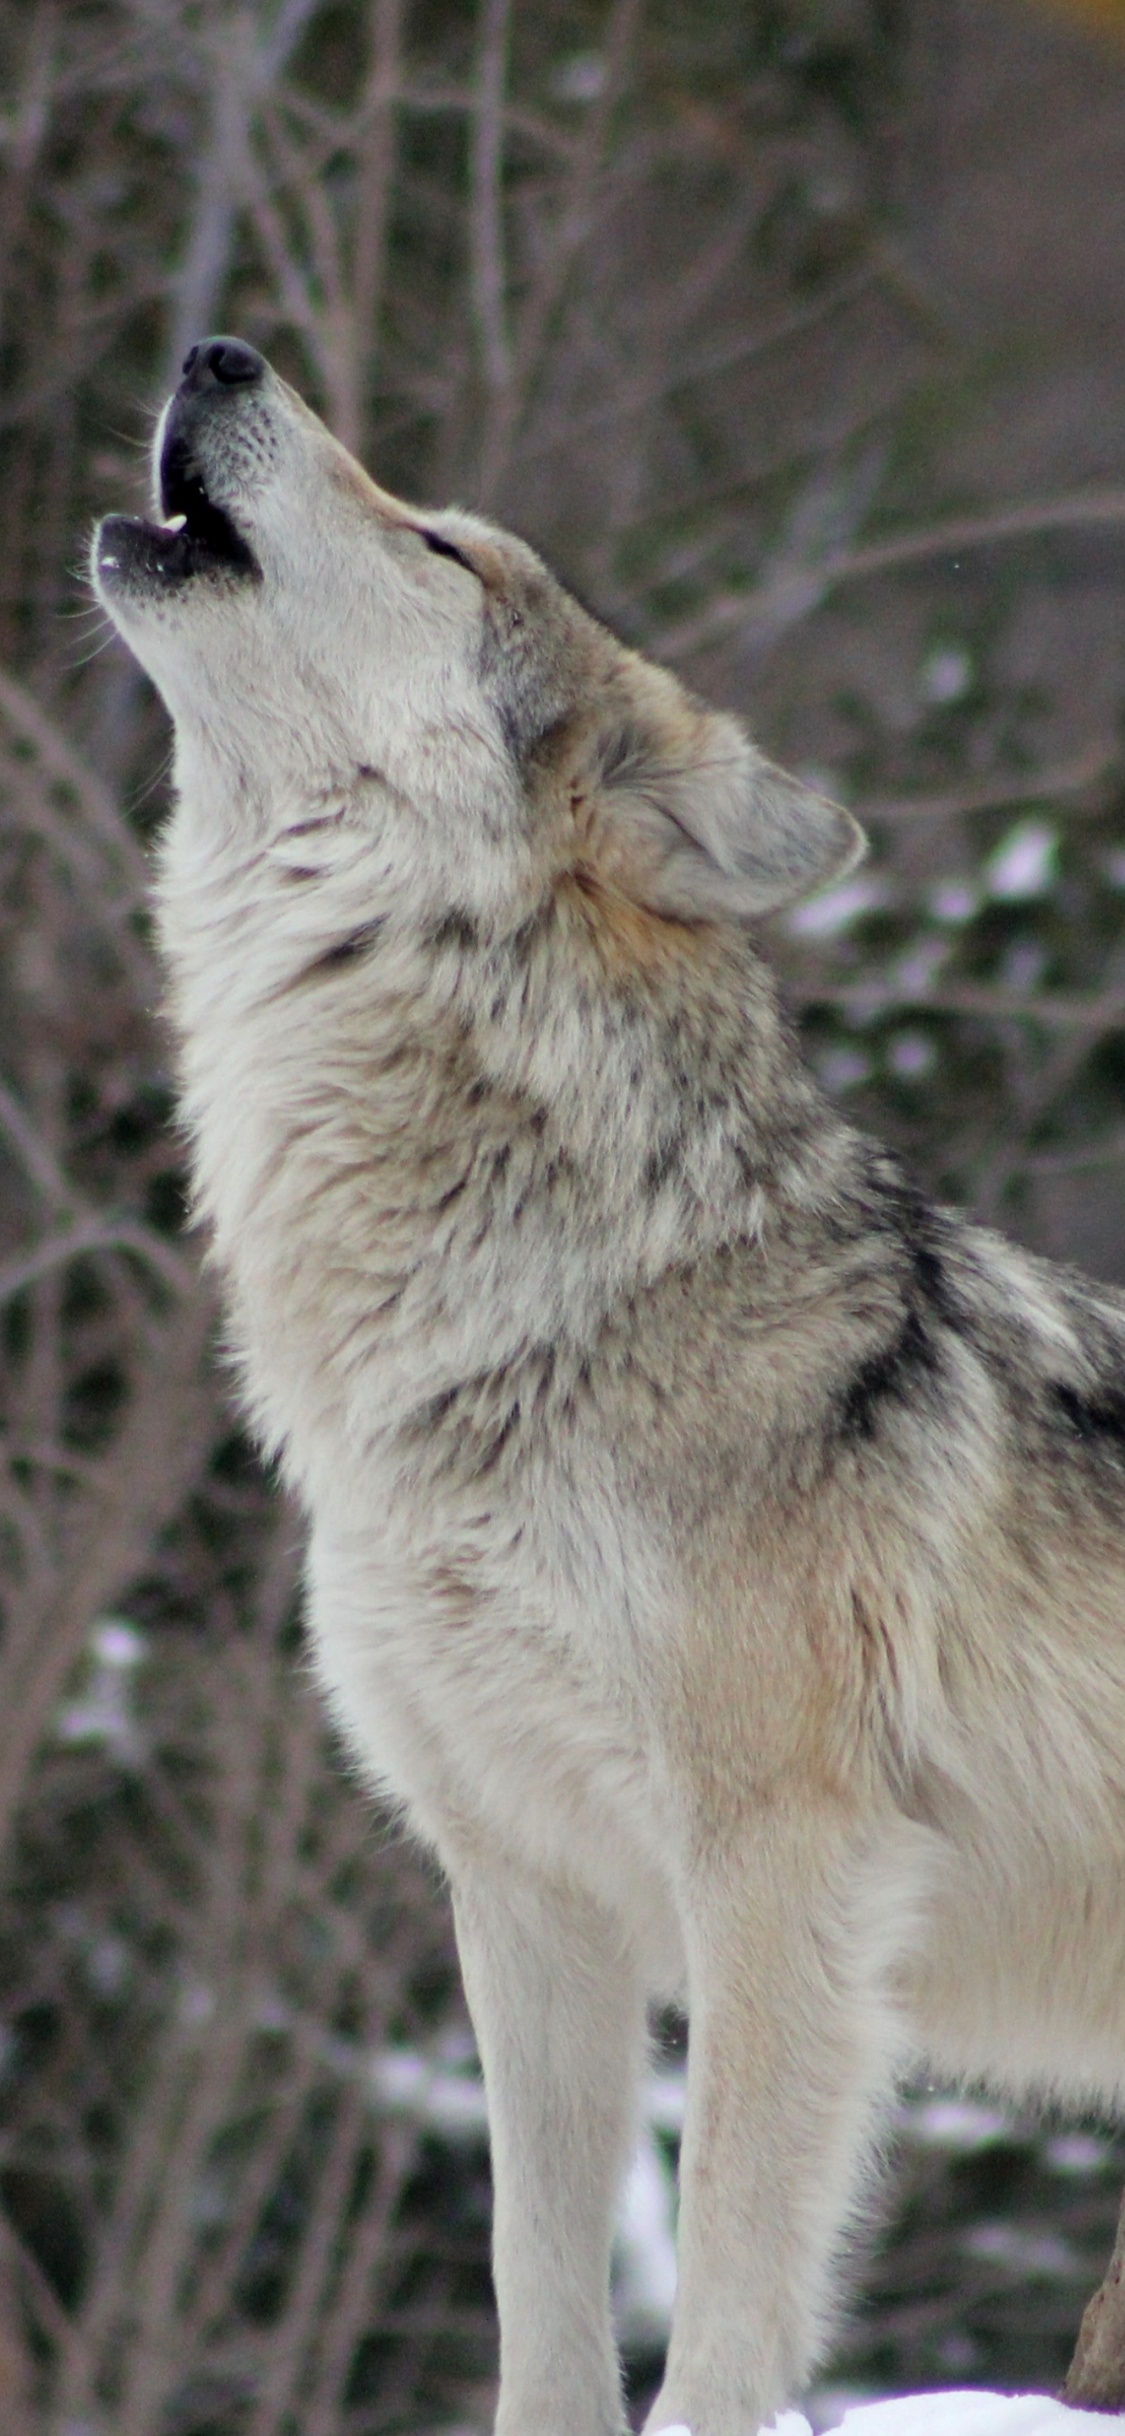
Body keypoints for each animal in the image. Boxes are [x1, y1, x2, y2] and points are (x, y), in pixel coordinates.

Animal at [93, 336, 1125, 2436]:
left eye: (445, 545)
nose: (218, 351)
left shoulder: (783, 1872)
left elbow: (721, 2303)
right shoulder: (521, 1891)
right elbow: (544, 2302)